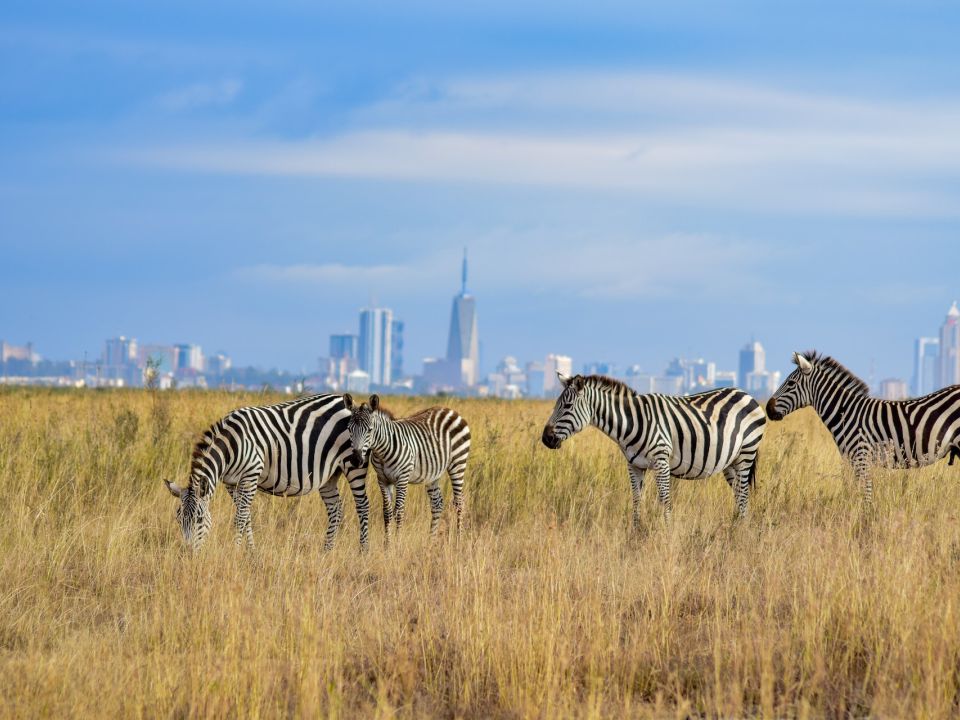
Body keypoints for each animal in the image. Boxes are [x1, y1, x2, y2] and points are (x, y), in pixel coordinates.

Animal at [161, 394, 372, 552]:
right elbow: (246, 517)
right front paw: (251, 552)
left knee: (362, 506)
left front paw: (235, 551)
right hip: (329, 474)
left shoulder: (251, 475)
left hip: (354, 463)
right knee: (335, 508)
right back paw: (327, 551)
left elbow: (240, 517)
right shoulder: (231, 483)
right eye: (178, 519)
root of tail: (346, 402)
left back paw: (363, 551)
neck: (231, 445)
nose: (188, 553)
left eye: (199, 519)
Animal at [344, 394, 472, 540]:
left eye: (369, 430)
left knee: (459, 502)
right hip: (433, 473)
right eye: (349, 429)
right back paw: (431, 540)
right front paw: (387, 543)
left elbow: (399, 511)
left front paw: (397, 542)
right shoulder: (382, 479)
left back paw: (458, 539)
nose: (356, 460)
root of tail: (450, 410)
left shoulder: (402, 478)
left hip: (458, 463)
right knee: (437, 504)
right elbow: (387, 513)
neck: (382, 452)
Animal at [540, 372, 764, 524]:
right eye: (556, 404)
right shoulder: (634, 465)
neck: (631, 422)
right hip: (730, 462)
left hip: (746, 453)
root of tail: (746, 394)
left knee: (743, 494)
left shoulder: (661, 460)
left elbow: (665, 500)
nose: (545, 439)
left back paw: (740, 531)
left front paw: (667, 533)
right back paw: (736, 527)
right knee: (739, 495)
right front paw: (636, 533)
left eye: (567, 406)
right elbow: (637, 500)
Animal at [768, 350, 960, 500]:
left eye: (791, 383)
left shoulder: (861, 457)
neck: (846, 412)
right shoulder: (853, 459)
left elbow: (865, 495)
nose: (768, 409)